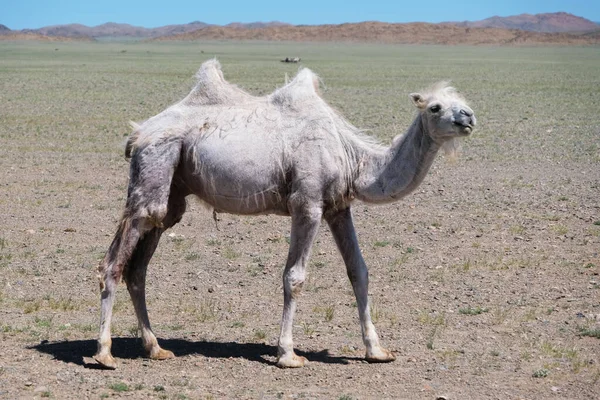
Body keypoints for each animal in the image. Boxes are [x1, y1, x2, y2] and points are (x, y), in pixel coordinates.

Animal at [95, 58, 478, 368]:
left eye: (463, 102)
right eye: (436, 107)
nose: (469, 116)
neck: (352, 157)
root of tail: (137, 134)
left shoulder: (338, 207)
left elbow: (359, 271)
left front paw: (377, 351)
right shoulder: (306, 203)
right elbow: (294, 277)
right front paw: (288, 354)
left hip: (173, 191)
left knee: (140, 265)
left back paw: (155, 348)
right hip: (155, 165)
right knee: (114, 261)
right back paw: (104, 353)